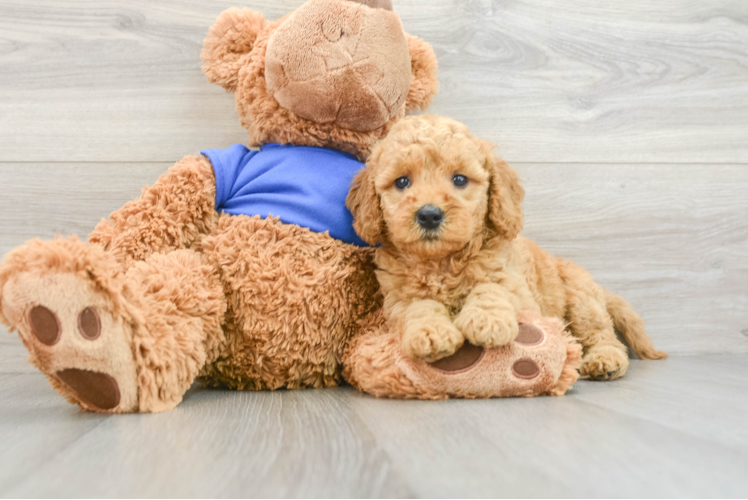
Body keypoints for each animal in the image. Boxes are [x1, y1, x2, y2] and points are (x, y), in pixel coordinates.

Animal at [344, 115, 668, 380]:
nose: (429, 214)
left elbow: (491, 287)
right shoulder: (396, 299)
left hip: (581, 300)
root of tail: (600, 290)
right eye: (401, 182)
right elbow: (419, 306)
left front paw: (486, 320)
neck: (443, 262)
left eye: (459, 179)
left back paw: (605, 360)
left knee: (602, 334)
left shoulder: (519, 291)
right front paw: (431, 332)